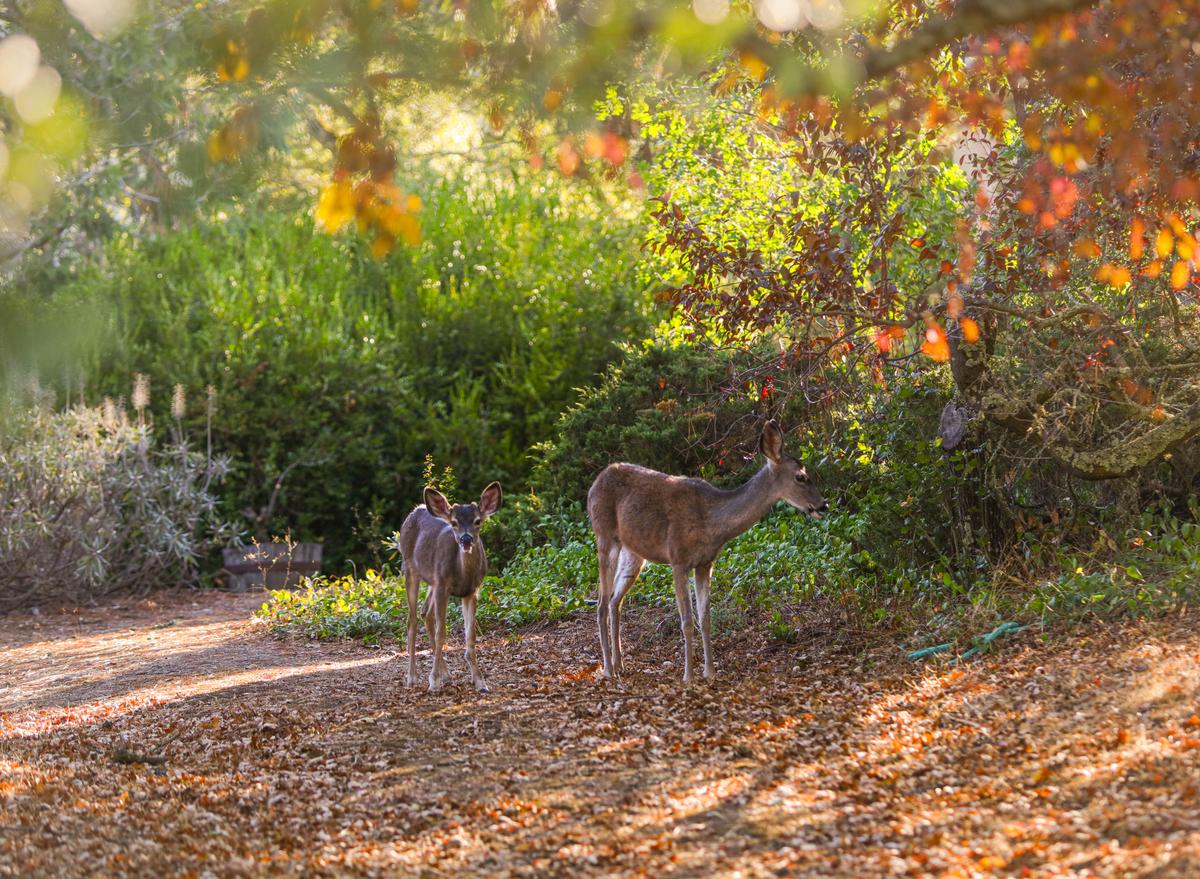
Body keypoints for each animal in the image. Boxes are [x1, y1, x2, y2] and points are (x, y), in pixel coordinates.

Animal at [397, 482, 502, 692]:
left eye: (477, 521)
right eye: (454, 523)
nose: (466, 539)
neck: (462, 575)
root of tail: (413, 512)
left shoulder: (471, 591)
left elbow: (471, 636)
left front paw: (480, 682)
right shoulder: (442, 587)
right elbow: (441, 634)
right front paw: (433, 681)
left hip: (432, 580)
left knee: (425, 612)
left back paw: (446, 674)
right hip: (410, 569)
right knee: (412, 620)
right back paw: (412, 678)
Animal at [587, 420, 827, 683]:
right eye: (800, 477)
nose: (823, 505)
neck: (712, 521)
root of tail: (595, 483)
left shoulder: (705, 563)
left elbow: (706, 618)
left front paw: (710, 672)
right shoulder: (678, 558)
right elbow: (687, 621)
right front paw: (688, 676)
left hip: (634, 554)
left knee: (614, 601)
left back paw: (619, 664)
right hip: (604, 535)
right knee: (601, 604)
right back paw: (608, 670)